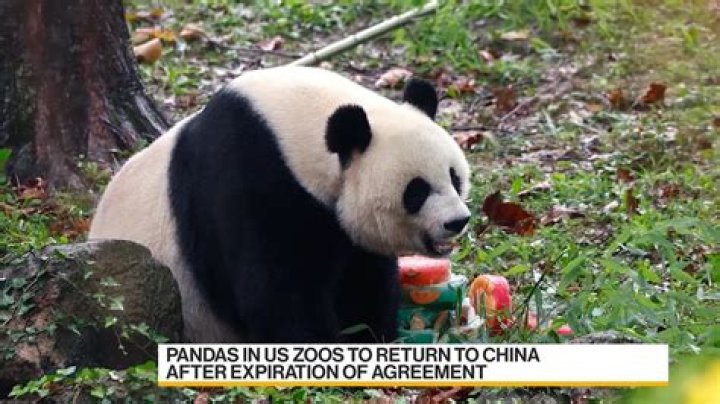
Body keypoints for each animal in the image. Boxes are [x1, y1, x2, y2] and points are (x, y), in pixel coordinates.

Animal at [89, 66, 471, 343]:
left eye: (454, 177)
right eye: (416, 191)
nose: (457, 221)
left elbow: (363, 273)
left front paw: (371, 334)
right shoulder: (250, 177)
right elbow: (274, 287)